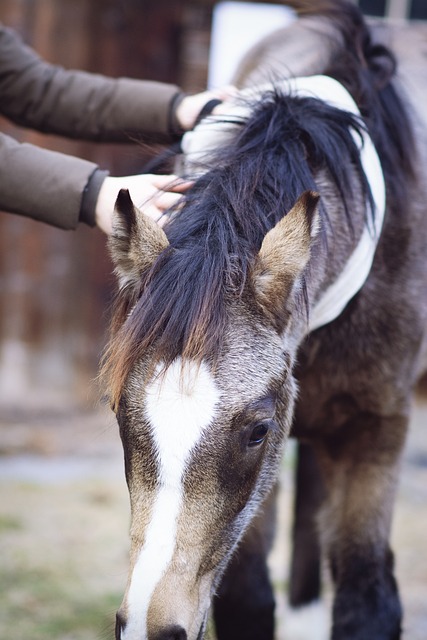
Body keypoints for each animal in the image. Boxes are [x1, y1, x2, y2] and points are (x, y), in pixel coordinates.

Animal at [103, 2, 427, 636]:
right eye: (120, 415)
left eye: (256, 430)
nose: (152, 626)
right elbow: (249, 598)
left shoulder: (375, 425)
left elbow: (367, 598)